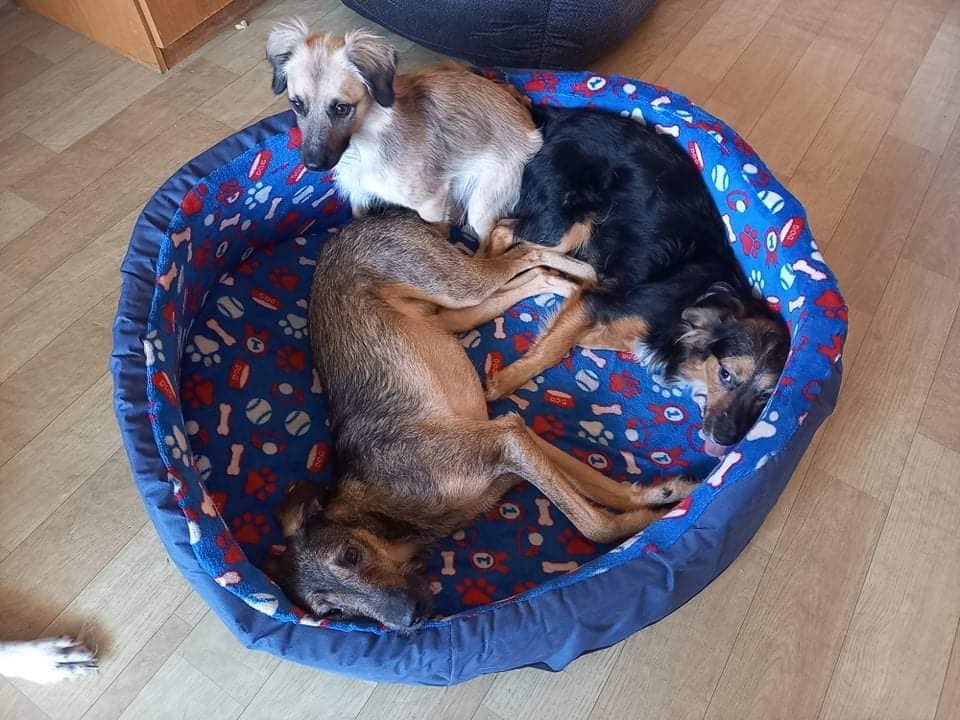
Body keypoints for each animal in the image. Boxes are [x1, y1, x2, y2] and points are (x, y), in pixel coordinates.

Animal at [260, 209, 700, 630]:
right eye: (331, 611)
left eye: (351, 555)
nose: (410, 619)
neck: (383, 514)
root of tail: (359, 222)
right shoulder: (510, 438)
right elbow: (597, 489)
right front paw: (655, 498)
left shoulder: (503, 441)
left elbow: (592, 524)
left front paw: (647, 521)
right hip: (447, 312)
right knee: (524, 268)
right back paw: (569, 283)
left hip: (452, 283)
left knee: (520, 251)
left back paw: (583, 271)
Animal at [265, 20, 542, 247]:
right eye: (297, 104)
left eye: (341, 108)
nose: (312, 165)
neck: (365, 143)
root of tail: (530, 128)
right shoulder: (359, 196)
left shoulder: (431, 203)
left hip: (481, 204)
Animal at [483, 107, 790, 456]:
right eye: (726, 374)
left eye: (765, 396)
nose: (726, 441)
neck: (696, 299)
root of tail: (561, 117)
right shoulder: (601, 304)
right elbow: (553, 350)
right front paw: (499, 386)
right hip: (562, 228)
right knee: (504, 232)